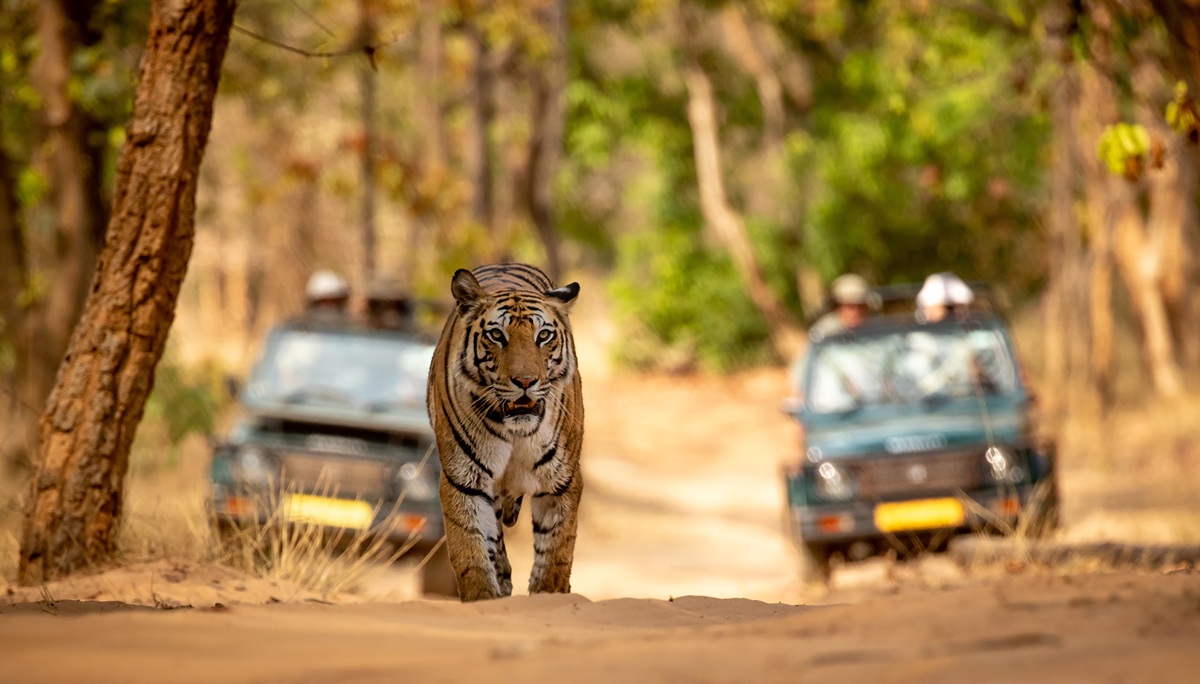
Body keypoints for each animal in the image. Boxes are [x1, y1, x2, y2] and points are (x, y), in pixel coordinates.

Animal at [426, 263, 584, 602]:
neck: (515, 432)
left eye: (543, 335)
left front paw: (549, 594)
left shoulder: (561, 481)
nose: (525, 381)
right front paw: (482, 597)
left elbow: (556, 551)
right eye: (497, 335)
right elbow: (470, 549)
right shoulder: (464, 480)